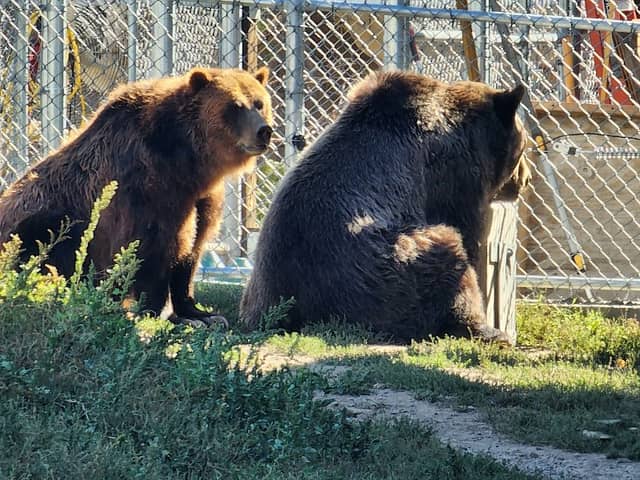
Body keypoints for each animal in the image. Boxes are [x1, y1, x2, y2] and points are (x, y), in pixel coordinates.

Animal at [0, 66, 273, 327]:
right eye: (235, 106)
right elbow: (151, 250)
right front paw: (159, 311)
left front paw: (202, 314)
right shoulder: (146, 190)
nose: (264, 131)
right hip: (42, 221)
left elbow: (192, 250)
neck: (188, 162)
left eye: (259, 103)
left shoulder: (199, 199)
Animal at [240, 70, 530, 341]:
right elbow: (465, 231)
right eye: (524, 145)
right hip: (379, 275)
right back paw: (489, 331)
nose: (524, 179)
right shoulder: (452, 178)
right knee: (445, 249)